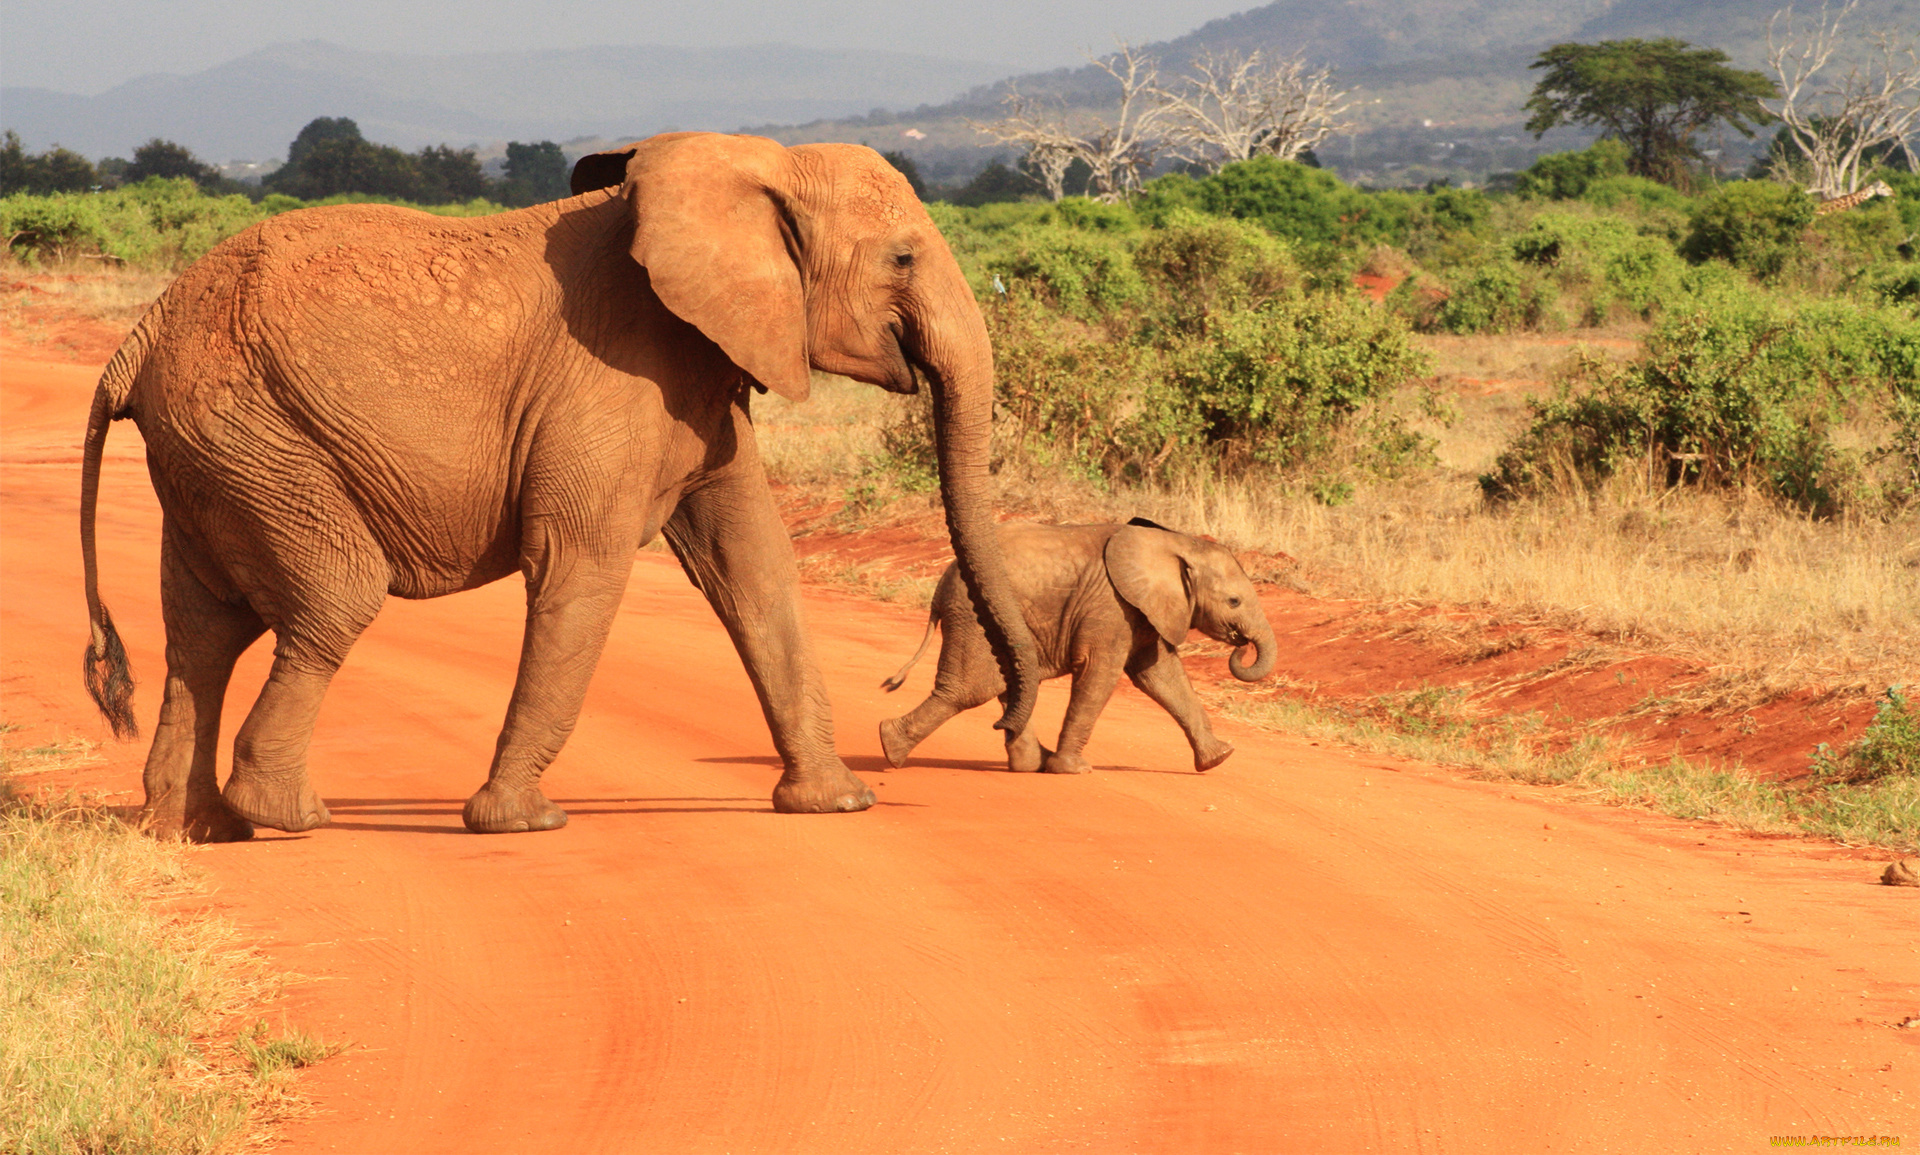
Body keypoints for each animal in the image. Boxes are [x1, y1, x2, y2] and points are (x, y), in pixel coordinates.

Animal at [78, 132, 1036, 836]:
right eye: (903, 259)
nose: (1012, 739)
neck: (755, 164)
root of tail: (140, 335)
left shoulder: (699, 375)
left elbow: (754, 567)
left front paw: (835, 804)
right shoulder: (613, 373)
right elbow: (581, 566)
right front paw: (522, 822)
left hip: (216, 454)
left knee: (205, 629)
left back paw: (194, 827)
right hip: (256, 434)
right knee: (335, 595)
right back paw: (286, 815)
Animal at [879, 518, 1274, 775]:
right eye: (1234, 602)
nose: (1241, 645)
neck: (1174, 543)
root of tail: (939, 586)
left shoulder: (1143, 612)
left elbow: (1161, 675)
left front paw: (1219, 757)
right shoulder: (1111, 607)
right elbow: (1100, 672)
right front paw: (1073, 769)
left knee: (1008, 682)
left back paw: (1029, 764)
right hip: (973, 618)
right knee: (967, 690)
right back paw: (890, 747)